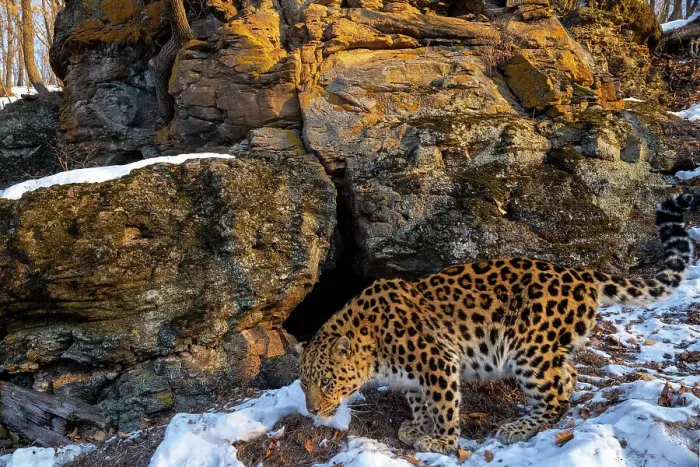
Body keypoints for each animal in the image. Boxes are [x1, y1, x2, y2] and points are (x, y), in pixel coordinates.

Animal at [299, 193, 696, 454]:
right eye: (303, 384)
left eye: (327, 382)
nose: (312, 411)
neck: (373, 347)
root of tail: (580, 274)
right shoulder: (413, 376)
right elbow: (419, 401)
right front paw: (417, 426)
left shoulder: (438, 361)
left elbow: (442, 405)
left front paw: (441, 441)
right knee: (567, 376)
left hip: (529, 350)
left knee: (554, 398)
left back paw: (517, 428)